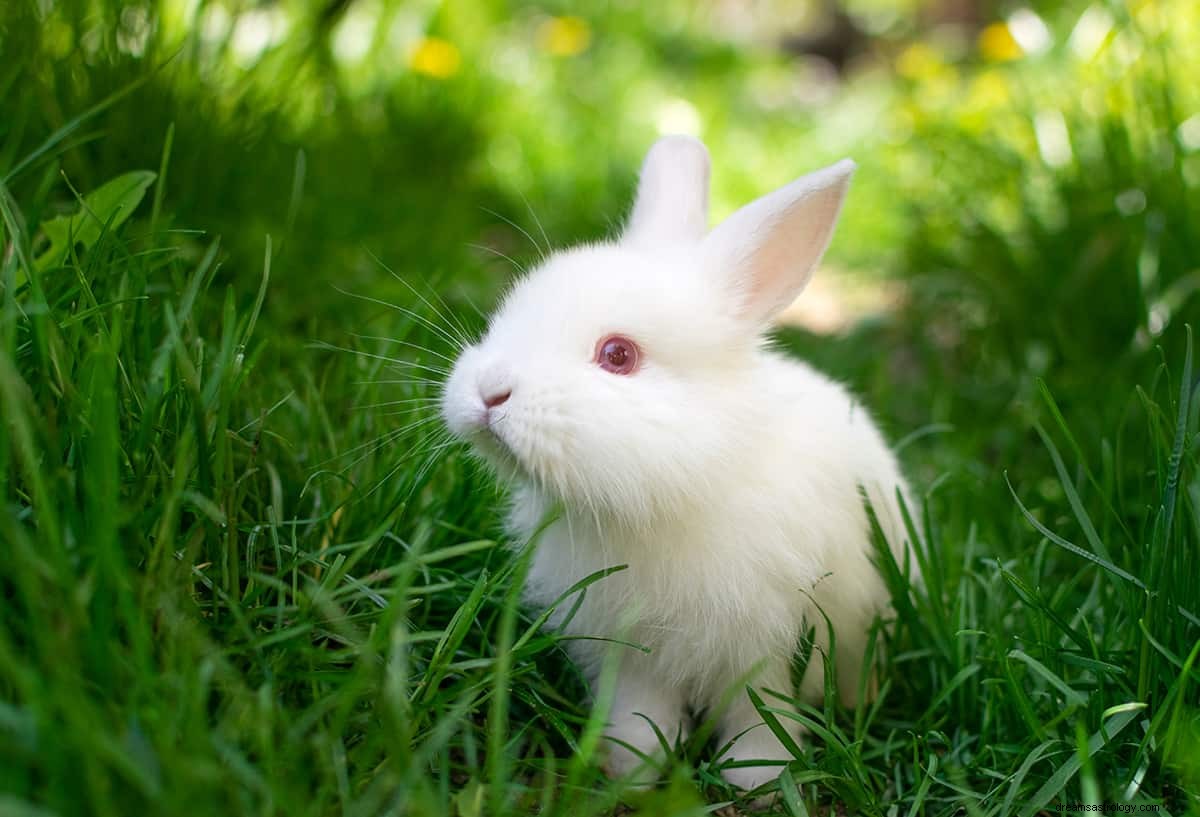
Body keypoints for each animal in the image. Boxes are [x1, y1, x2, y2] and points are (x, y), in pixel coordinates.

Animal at [441, 136, 916, 791]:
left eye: (618, 355)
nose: (488, 394)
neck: (674, 491)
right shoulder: (629, 649)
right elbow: (641, 712)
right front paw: (630, 769)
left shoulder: (766, 648)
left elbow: (761, 715)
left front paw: (759, 781)